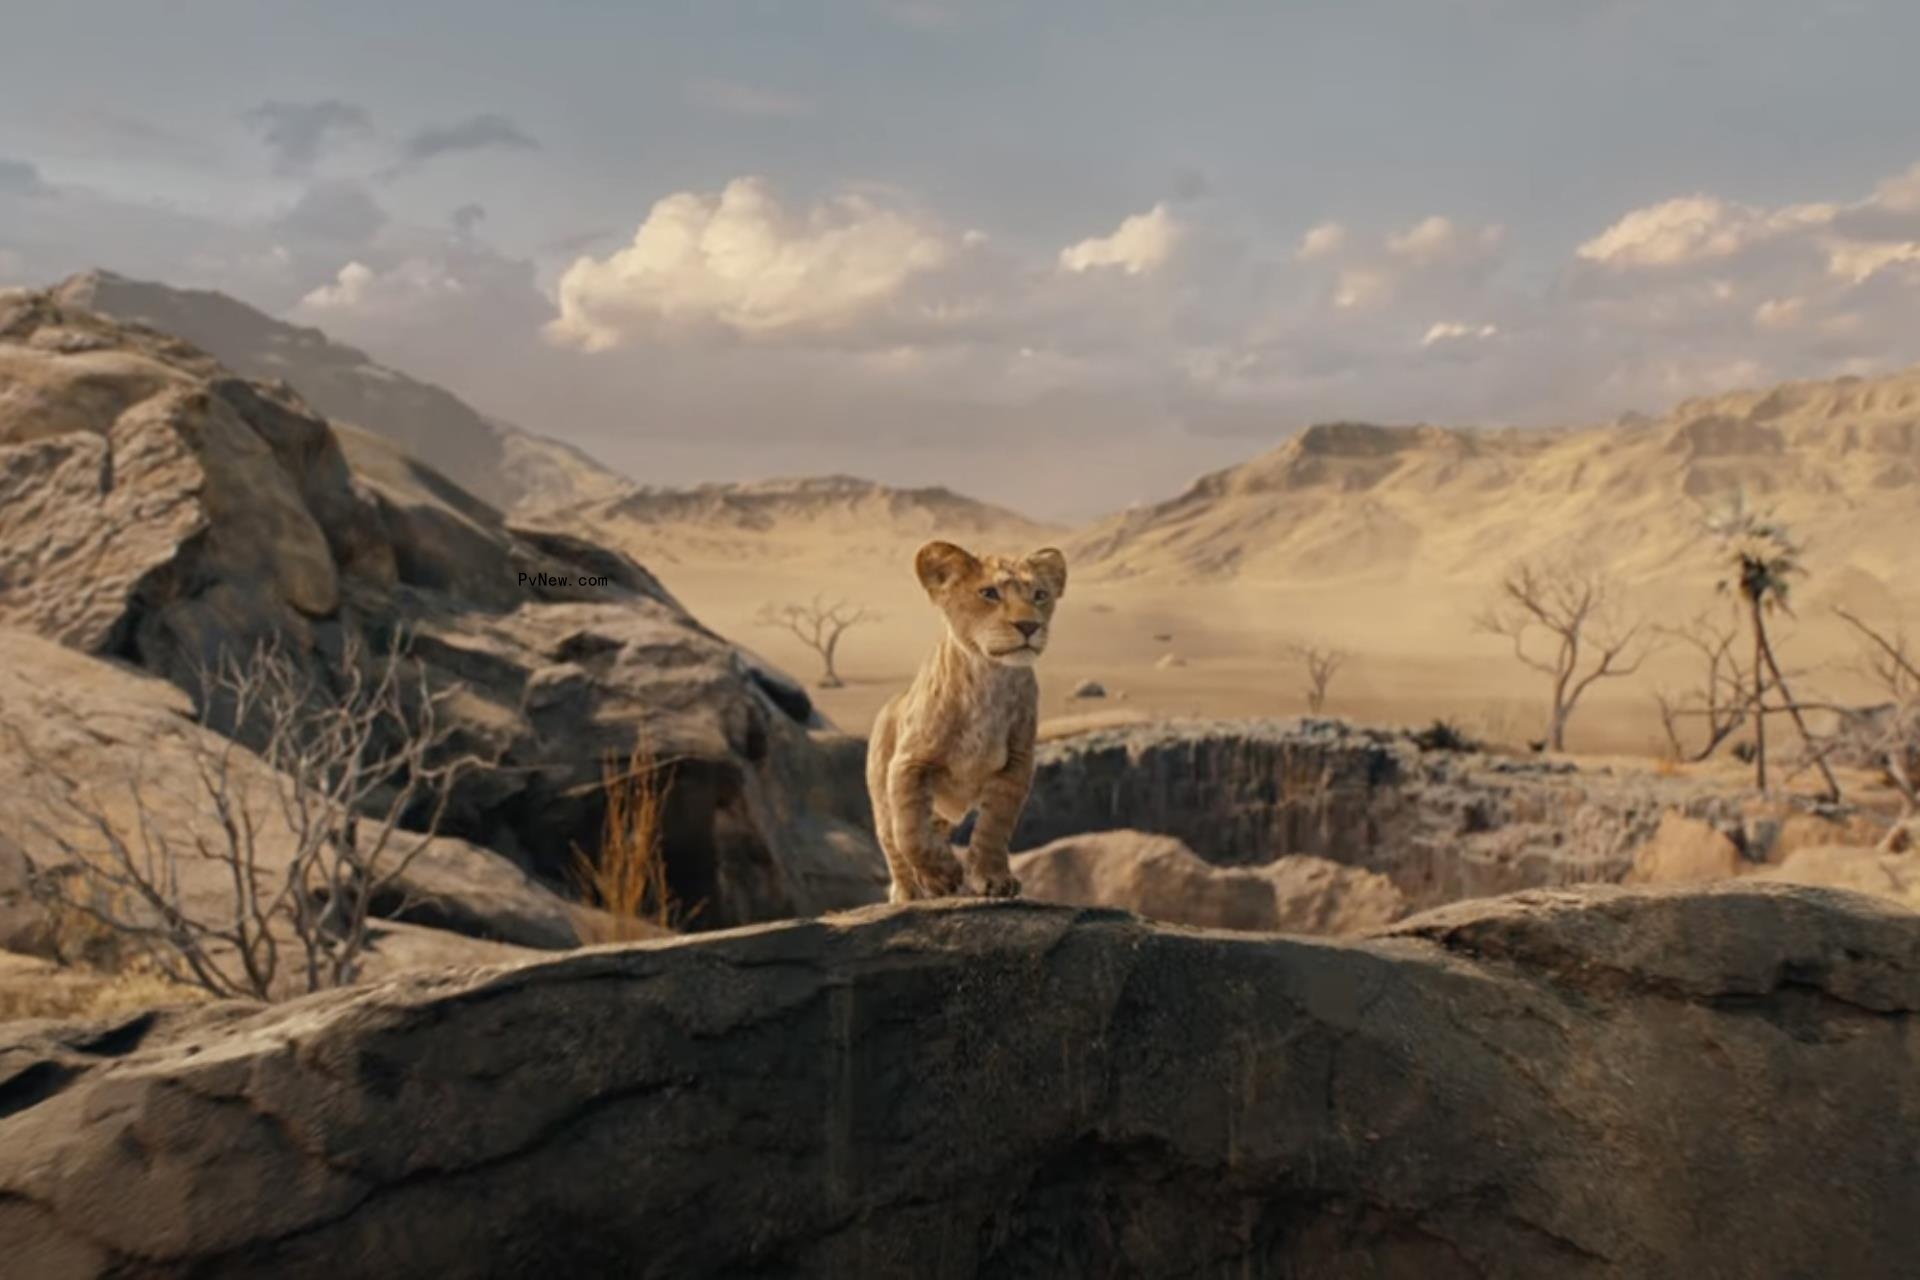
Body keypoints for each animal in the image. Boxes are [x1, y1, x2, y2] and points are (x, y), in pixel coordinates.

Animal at [865, 540, 1067, 902]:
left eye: (1040, 595)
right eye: (989, 593)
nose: (1029, 626)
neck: (989, 678)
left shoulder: (1016, 765)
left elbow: (994, 827)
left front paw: (993, 879)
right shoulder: (909, 762)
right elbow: (910, 829)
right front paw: (941, 876)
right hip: (881, 794)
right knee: (893, 842)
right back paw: (909, 894)